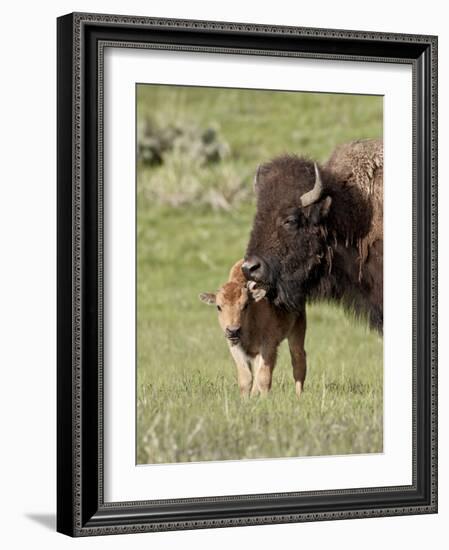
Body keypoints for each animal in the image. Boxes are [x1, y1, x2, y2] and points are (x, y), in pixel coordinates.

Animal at [199, 260, 304, 398]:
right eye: (218, 307)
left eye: (245, 305)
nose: (233, 330)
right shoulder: (235, 347)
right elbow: (246, 378)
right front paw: (245, 399)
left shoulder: (268, 345)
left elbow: (264, 377)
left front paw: (265, 400)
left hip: (297, 329)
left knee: (298, 361)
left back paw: (299, 396)